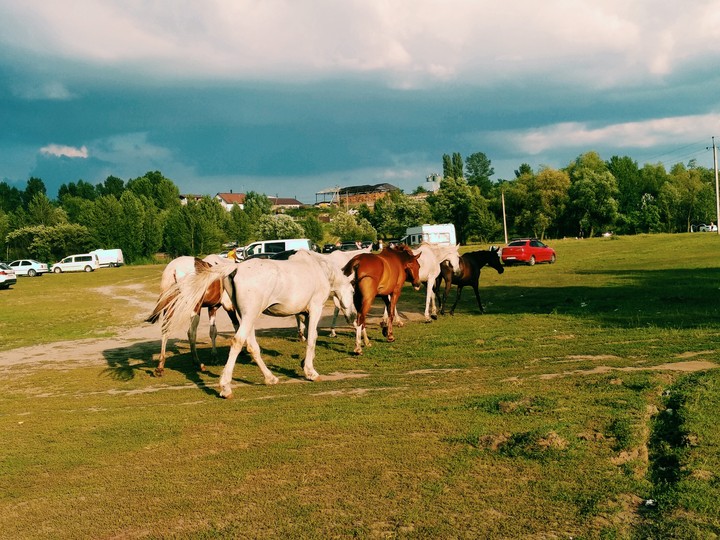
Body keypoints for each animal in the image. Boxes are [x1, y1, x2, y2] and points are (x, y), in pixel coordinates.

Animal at [157, 249, 356, 398]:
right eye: (353, 291)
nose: (354, 316)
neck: (319, 268)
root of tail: (234, 269)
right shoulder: (315, 309)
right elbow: (312, 339)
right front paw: (310, 372)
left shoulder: (305, 313)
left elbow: (308, 336)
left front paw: (304, 364)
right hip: (244, 315)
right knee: (237, 341)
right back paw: (225, 387)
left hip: (247, 316)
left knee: (252, 346)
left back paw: (270, 378)